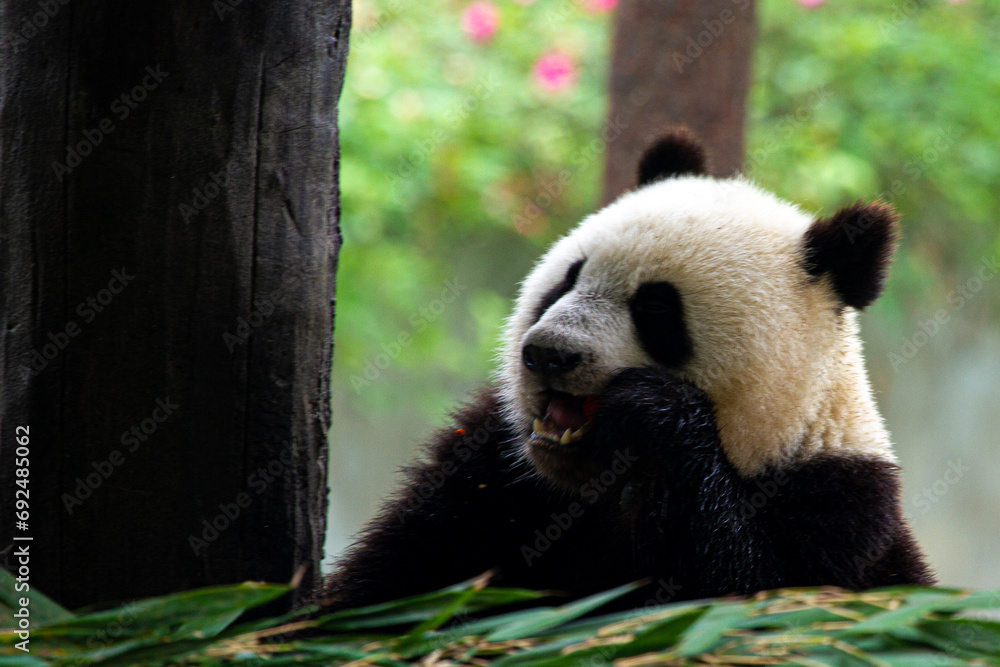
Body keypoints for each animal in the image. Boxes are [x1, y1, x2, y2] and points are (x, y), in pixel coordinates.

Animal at [321, 128, 933, 611]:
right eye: (566, 280)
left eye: (656, 311)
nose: (550, 353)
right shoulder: (490, 468)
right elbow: (402, 574)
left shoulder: (836, 512)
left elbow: (740, 591)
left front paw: (655, 409)